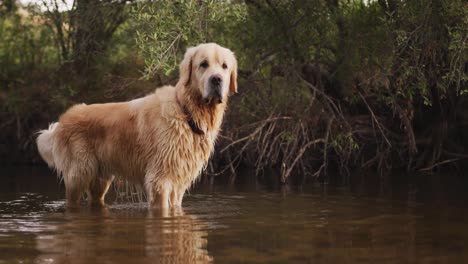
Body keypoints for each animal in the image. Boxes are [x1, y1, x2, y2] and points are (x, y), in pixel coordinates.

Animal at [36, 42, 238, 208]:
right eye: (203, 64)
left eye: (224, 66)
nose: (217, 79)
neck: (186, 112)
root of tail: (63, 120)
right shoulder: (159, 180)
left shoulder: (179, 183)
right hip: (78, 174)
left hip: (100, 179)